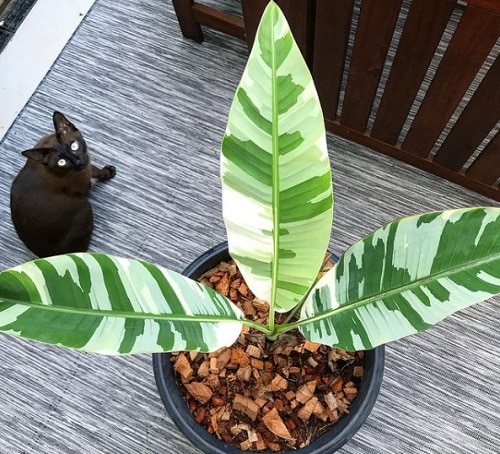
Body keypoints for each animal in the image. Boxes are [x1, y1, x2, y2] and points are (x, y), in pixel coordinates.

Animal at [10, 111, 115, 258]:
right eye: (62, 162)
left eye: (74, 146)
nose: (78, 163)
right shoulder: (85, 178)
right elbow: (96, 172)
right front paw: (109, 172)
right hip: (85, 207)